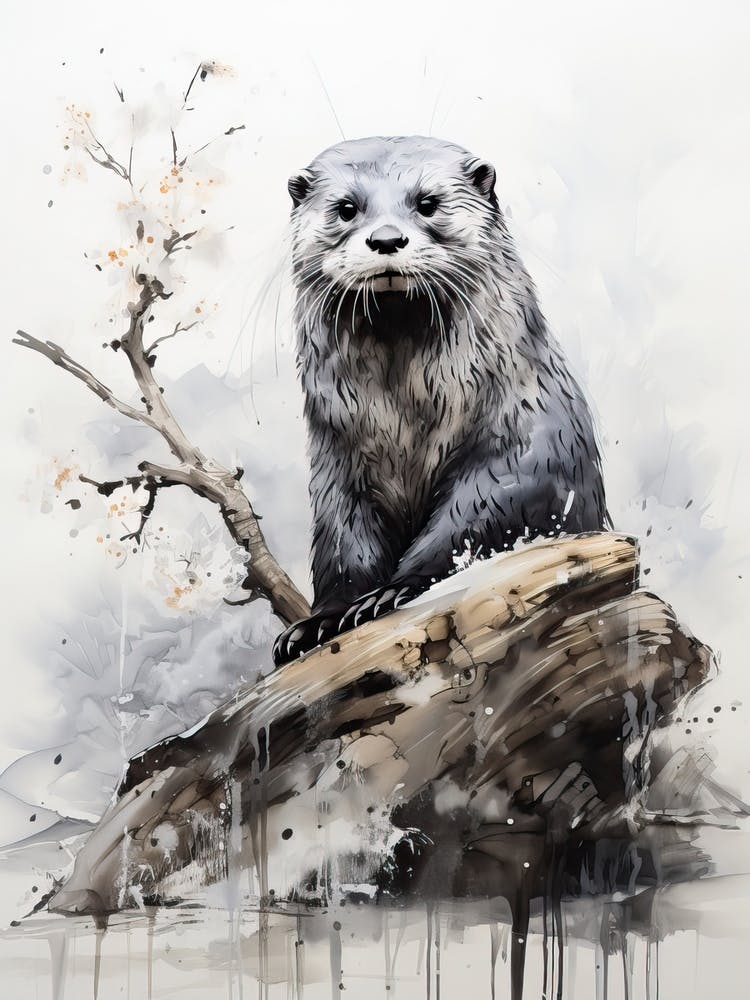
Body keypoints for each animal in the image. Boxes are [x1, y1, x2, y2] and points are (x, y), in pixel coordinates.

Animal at [273, 136, 607, 666]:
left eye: (427, 203)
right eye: (346, 208)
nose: (387, 239)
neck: (409, 423)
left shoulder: (521, 450)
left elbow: (469, 523)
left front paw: (392, 592)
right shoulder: (337, 468)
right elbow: (344, 544)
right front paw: (320, 620)